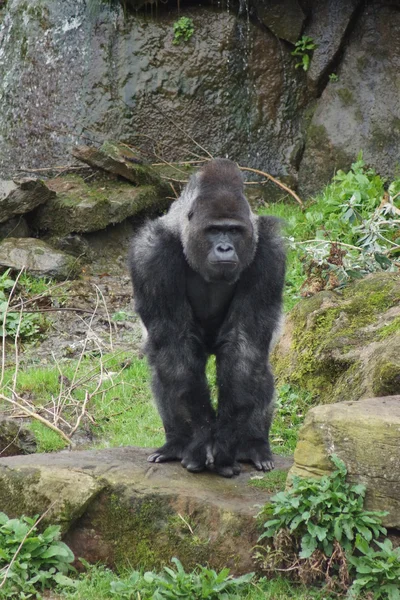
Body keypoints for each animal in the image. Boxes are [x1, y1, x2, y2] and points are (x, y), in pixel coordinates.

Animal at [128, 158, 284, 478]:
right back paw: (176, 443)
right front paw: (201, 440)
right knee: (165, 366)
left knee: (257, 367)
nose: (224, 248)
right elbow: (175, 347)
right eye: (213, 230)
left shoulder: (271, 252)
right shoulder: (150, 254)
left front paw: (223, 444)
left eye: (234, 231)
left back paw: (253, 444)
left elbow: (244, 347)